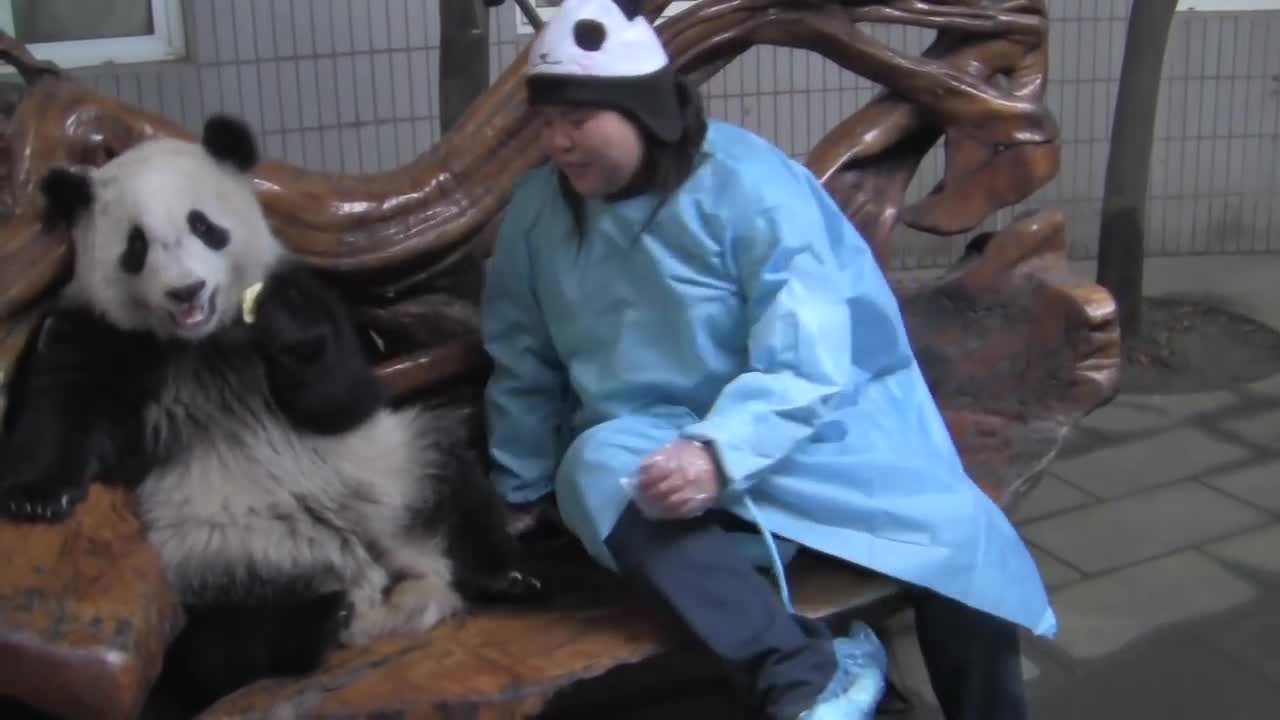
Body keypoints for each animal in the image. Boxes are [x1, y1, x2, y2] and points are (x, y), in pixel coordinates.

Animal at [0, 114, 545, 707]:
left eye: (203, 226)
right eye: (136, 245)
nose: (186, 291)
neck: (202, 342)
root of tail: (390, 578)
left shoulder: (302, 291)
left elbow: (342, 394)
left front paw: (285, 330)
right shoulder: (104, 334)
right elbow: (66, 408)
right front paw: (36, 498)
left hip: (393, 468)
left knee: (451, 471)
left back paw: (506, 575)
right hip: (210, 563)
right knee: (218, 642)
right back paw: (319, 619)